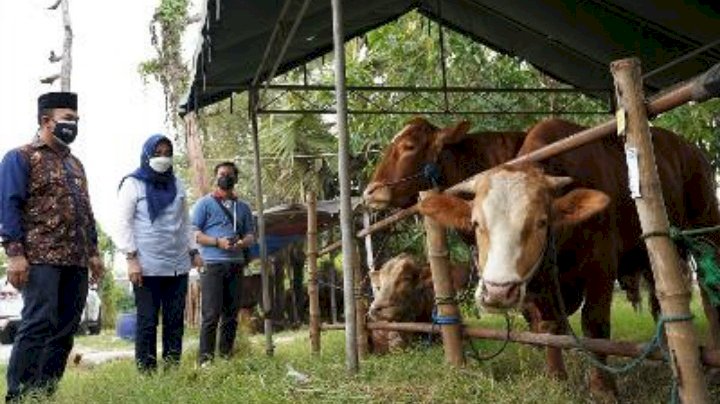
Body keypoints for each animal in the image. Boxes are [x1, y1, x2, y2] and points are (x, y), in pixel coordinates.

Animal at [420, 118, 720, 400]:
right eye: (476, 223)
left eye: (541, 222)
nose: (498, 293)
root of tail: (691, 148)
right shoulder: (540, 283)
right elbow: (549, 326)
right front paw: (556, 378)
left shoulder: (601, 266)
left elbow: (594, 325)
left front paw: (602, 388)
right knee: (660, 302)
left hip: (706, 229)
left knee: (708, 293)